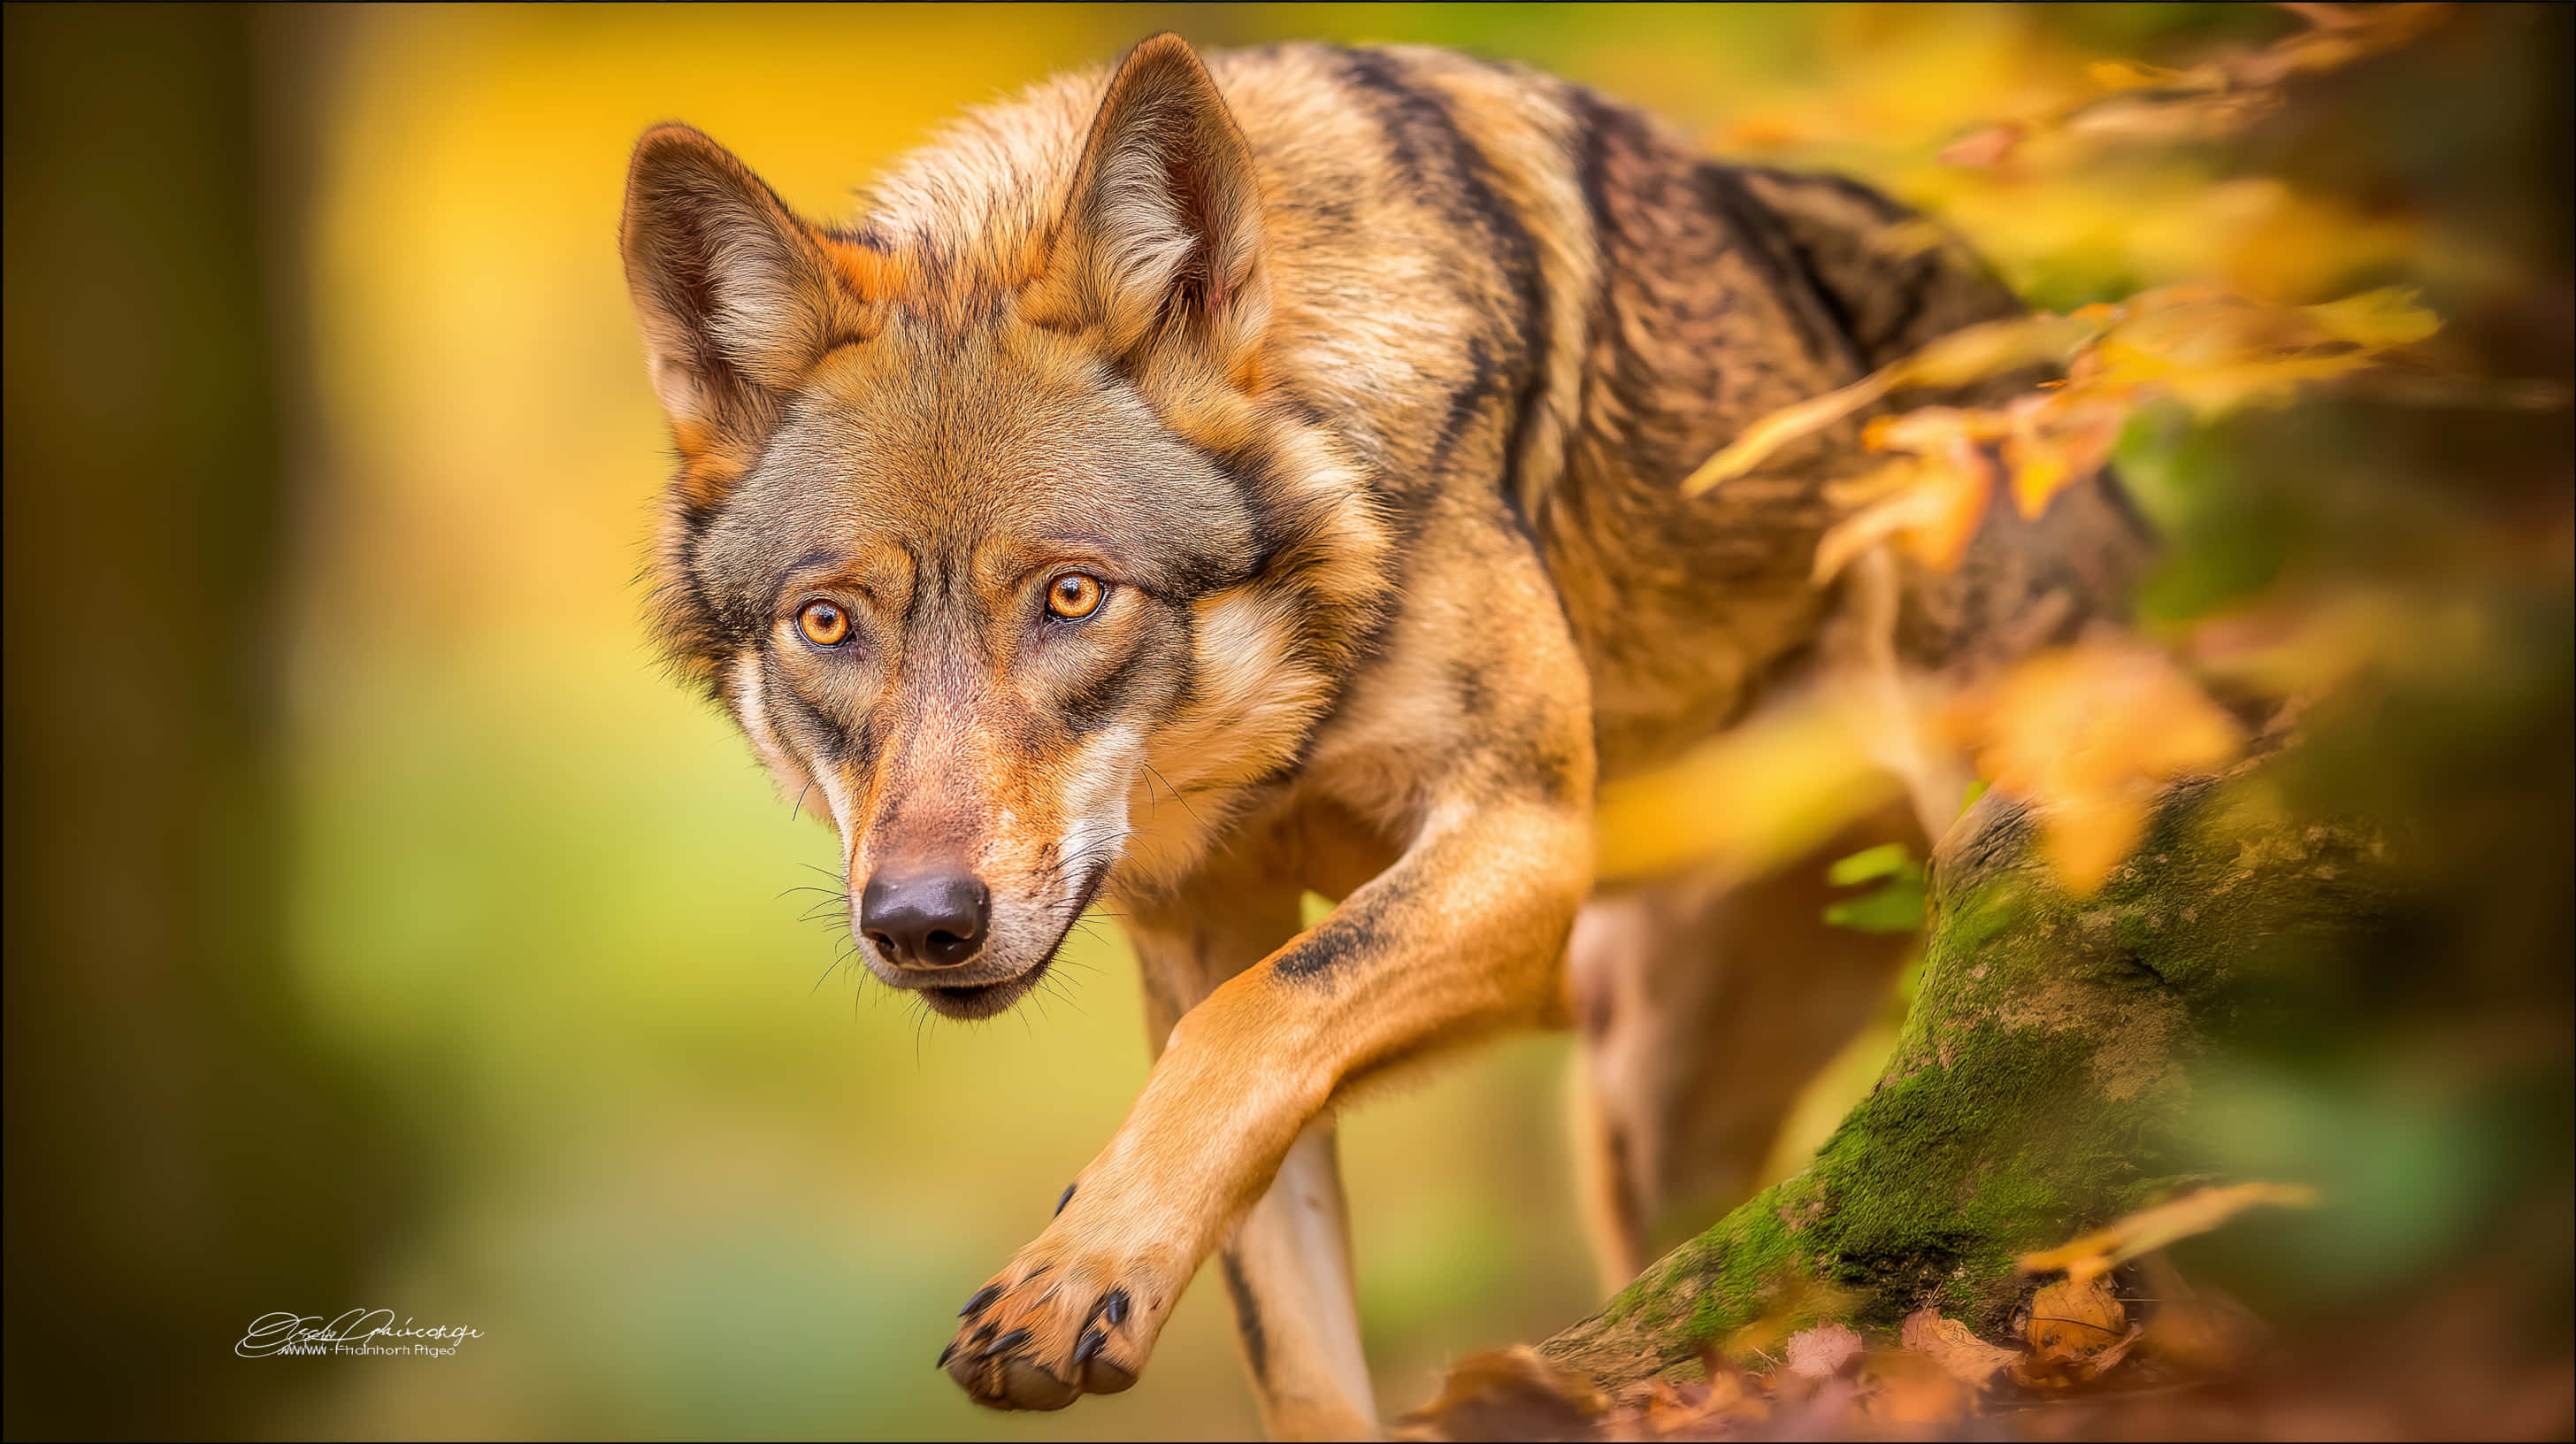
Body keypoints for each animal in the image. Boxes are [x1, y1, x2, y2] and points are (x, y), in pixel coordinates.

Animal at [619, 32, 2145, 1439]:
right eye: (827, 623)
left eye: (1072, 596)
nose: (922, 922)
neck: (1290, 714)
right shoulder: (1203, 938)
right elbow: (1262, 1234)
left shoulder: (1522, 847)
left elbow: (1256, 1019)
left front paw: (1068, 1270)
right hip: (1648, 1109)